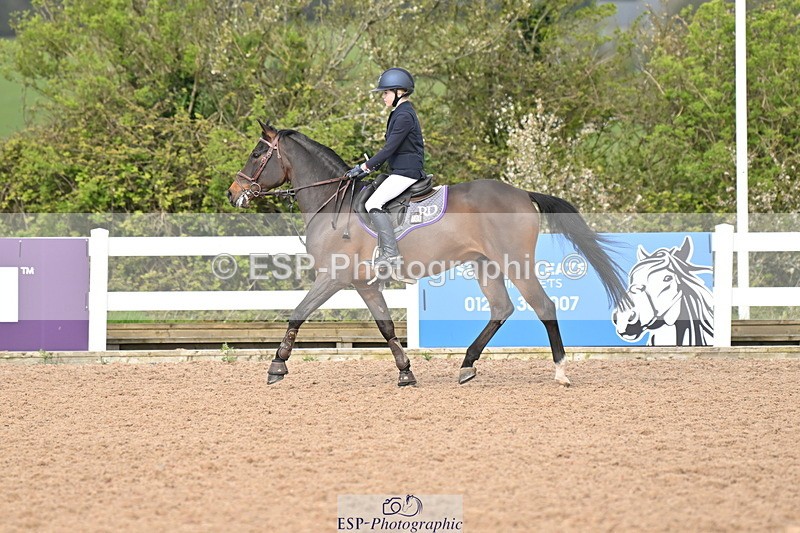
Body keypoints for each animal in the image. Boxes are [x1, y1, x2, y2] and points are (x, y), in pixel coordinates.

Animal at [227, 120, 631, 386]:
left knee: (544, 306)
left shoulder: (334, 277)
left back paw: (560, 371)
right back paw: (466, 364)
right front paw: (406, 371)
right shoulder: (364, 284)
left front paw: (276, 366)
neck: (332, 204)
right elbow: (386, 326)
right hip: (485, 266)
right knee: (501, 309)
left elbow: (297, 314)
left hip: (516, 263)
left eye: (257, 153)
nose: (233, 193)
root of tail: (521, 193)